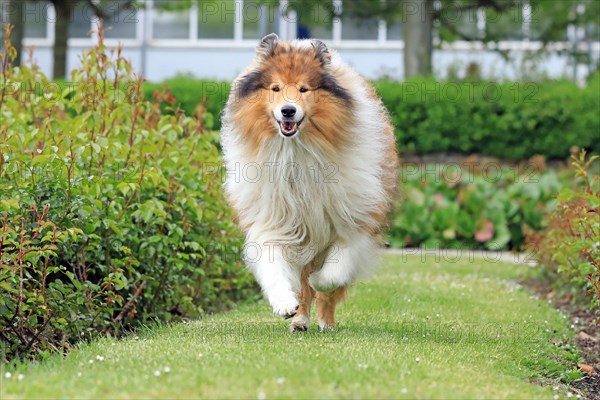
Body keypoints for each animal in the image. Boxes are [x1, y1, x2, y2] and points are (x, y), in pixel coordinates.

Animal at [220, 32, 398, 330]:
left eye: (304, 89)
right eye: (276, 88)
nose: (288, 111)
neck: (296, 152)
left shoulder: (354, 223)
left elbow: (333, 275)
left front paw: (320, 282)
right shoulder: (274, 222)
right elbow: (273, 265)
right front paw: (284, 303)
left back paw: (326, 322)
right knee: (303, 285)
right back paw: (299, 319)